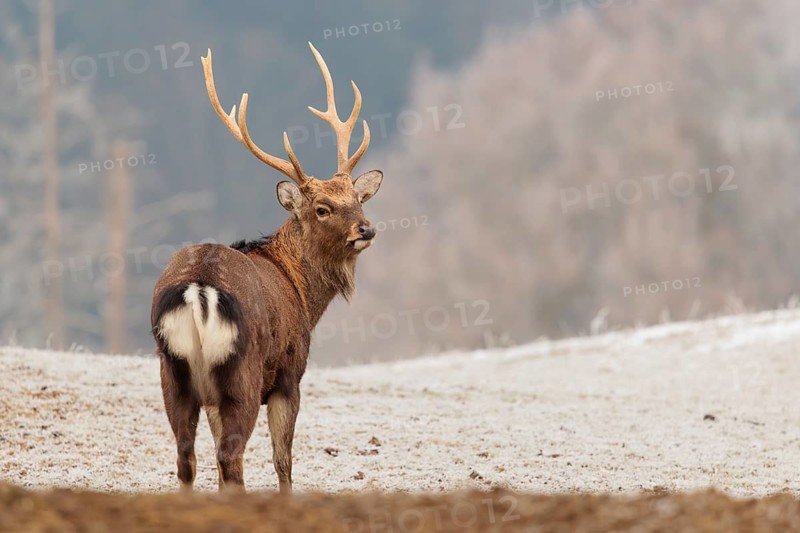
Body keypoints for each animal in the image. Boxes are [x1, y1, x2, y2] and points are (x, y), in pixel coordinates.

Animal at [150, 42, 383, 494]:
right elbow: (283, 461)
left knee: (188, 457)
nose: (366, 229)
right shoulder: (289, 375)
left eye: (358, 200)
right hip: (242, 371)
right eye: (322, 208)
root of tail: (198, 290)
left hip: (174, 372)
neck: (301, 291)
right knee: (232, 457)